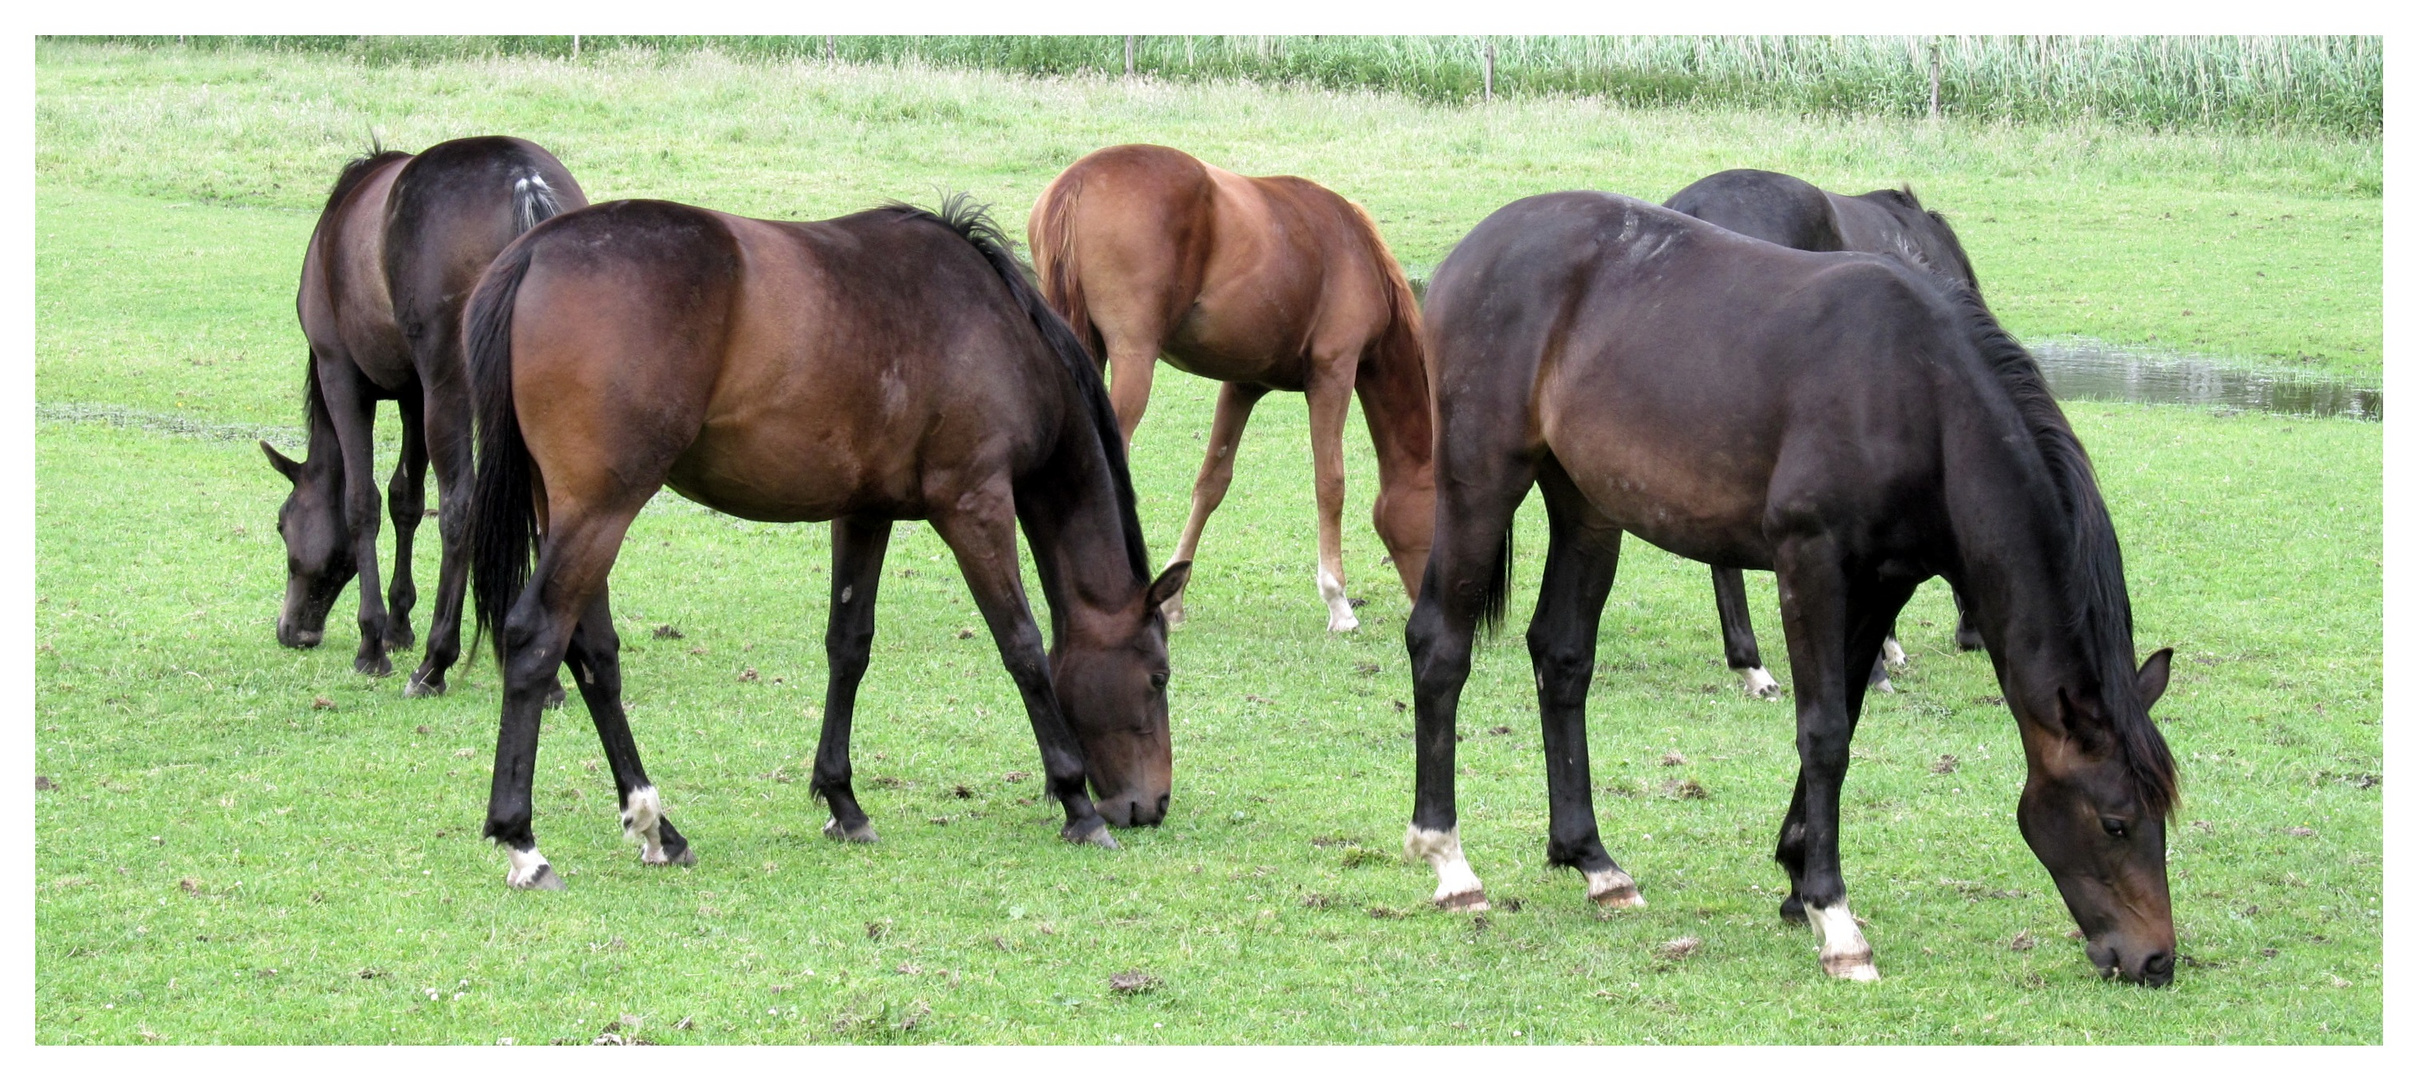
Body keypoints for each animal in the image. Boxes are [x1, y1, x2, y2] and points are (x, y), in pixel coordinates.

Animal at [266, 136, 585, 702]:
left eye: (283, 524)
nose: (294, 630)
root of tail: (523, 178)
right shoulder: (412, 393)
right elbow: (405, 501)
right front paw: (398, 625)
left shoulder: (342, 376)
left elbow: (362, 503)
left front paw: (373, 642)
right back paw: (544, 675)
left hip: (448, 389)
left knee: (461, 506)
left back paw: (435, 664)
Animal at [462, 198, 1190, 891]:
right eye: (1158, 676)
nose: (1151, 804)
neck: (995, 325)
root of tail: (534, 251)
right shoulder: (974, 505)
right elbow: (1023, 647)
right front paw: (1078, 804)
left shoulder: (864, 513)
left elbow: (849, 646)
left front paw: (843, 801)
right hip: (600, 511)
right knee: (536, 638)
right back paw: (524, 844)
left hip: (570, 513)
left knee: (593, 656)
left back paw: (657, 827)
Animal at [1025, 143, 1432, 634]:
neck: (1356, 254)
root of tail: (1078, 180)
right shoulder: (1334, 373)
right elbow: (1330, 482)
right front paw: (1338, 604)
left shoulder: (1242, 386)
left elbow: (1211, 483)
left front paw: (1173, 601)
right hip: (1133, 361)